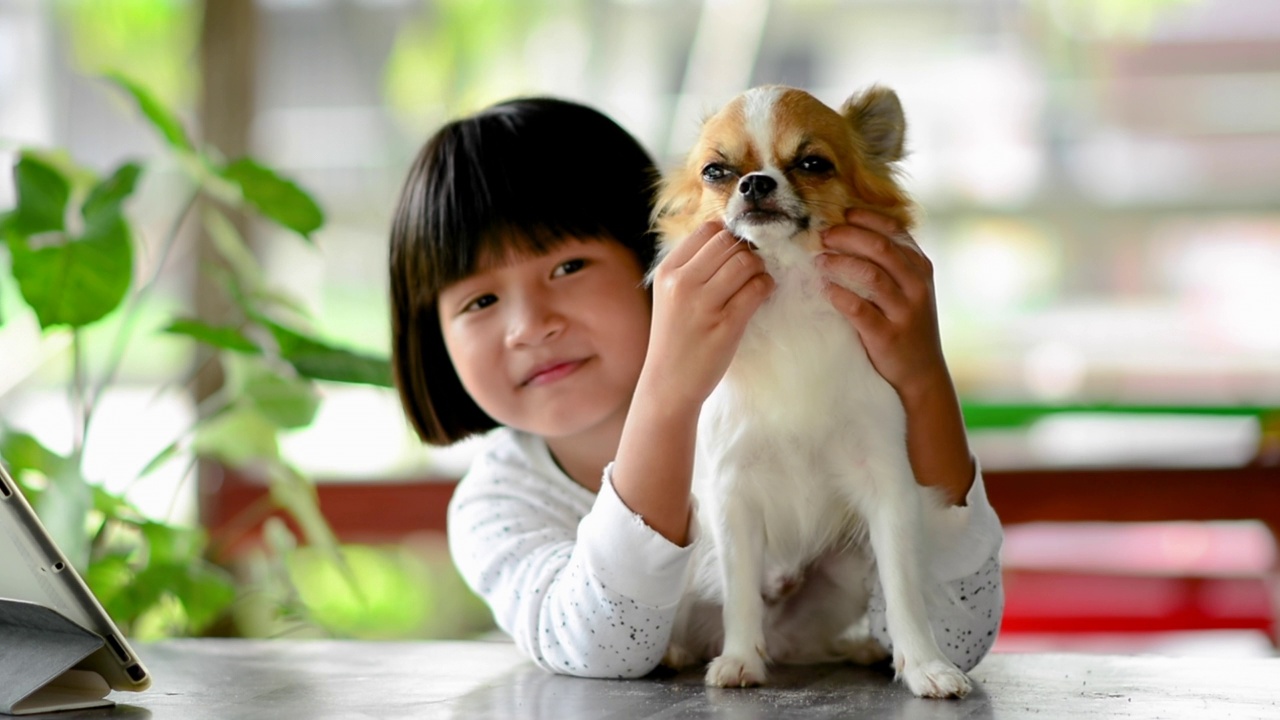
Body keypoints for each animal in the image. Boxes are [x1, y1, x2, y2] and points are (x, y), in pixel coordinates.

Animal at [660, 85, 967, 696]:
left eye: (812, 164)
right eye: (716, 172)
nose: (755, 183)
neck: (790, 288)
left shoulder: (888, 487)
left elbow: (903, 588)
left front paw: (925, 665)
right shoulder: (732, 494)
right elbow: (740, 594)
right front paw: (739, 659)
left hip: (842, 571)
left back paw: (858, 648)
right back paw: (681, 649)